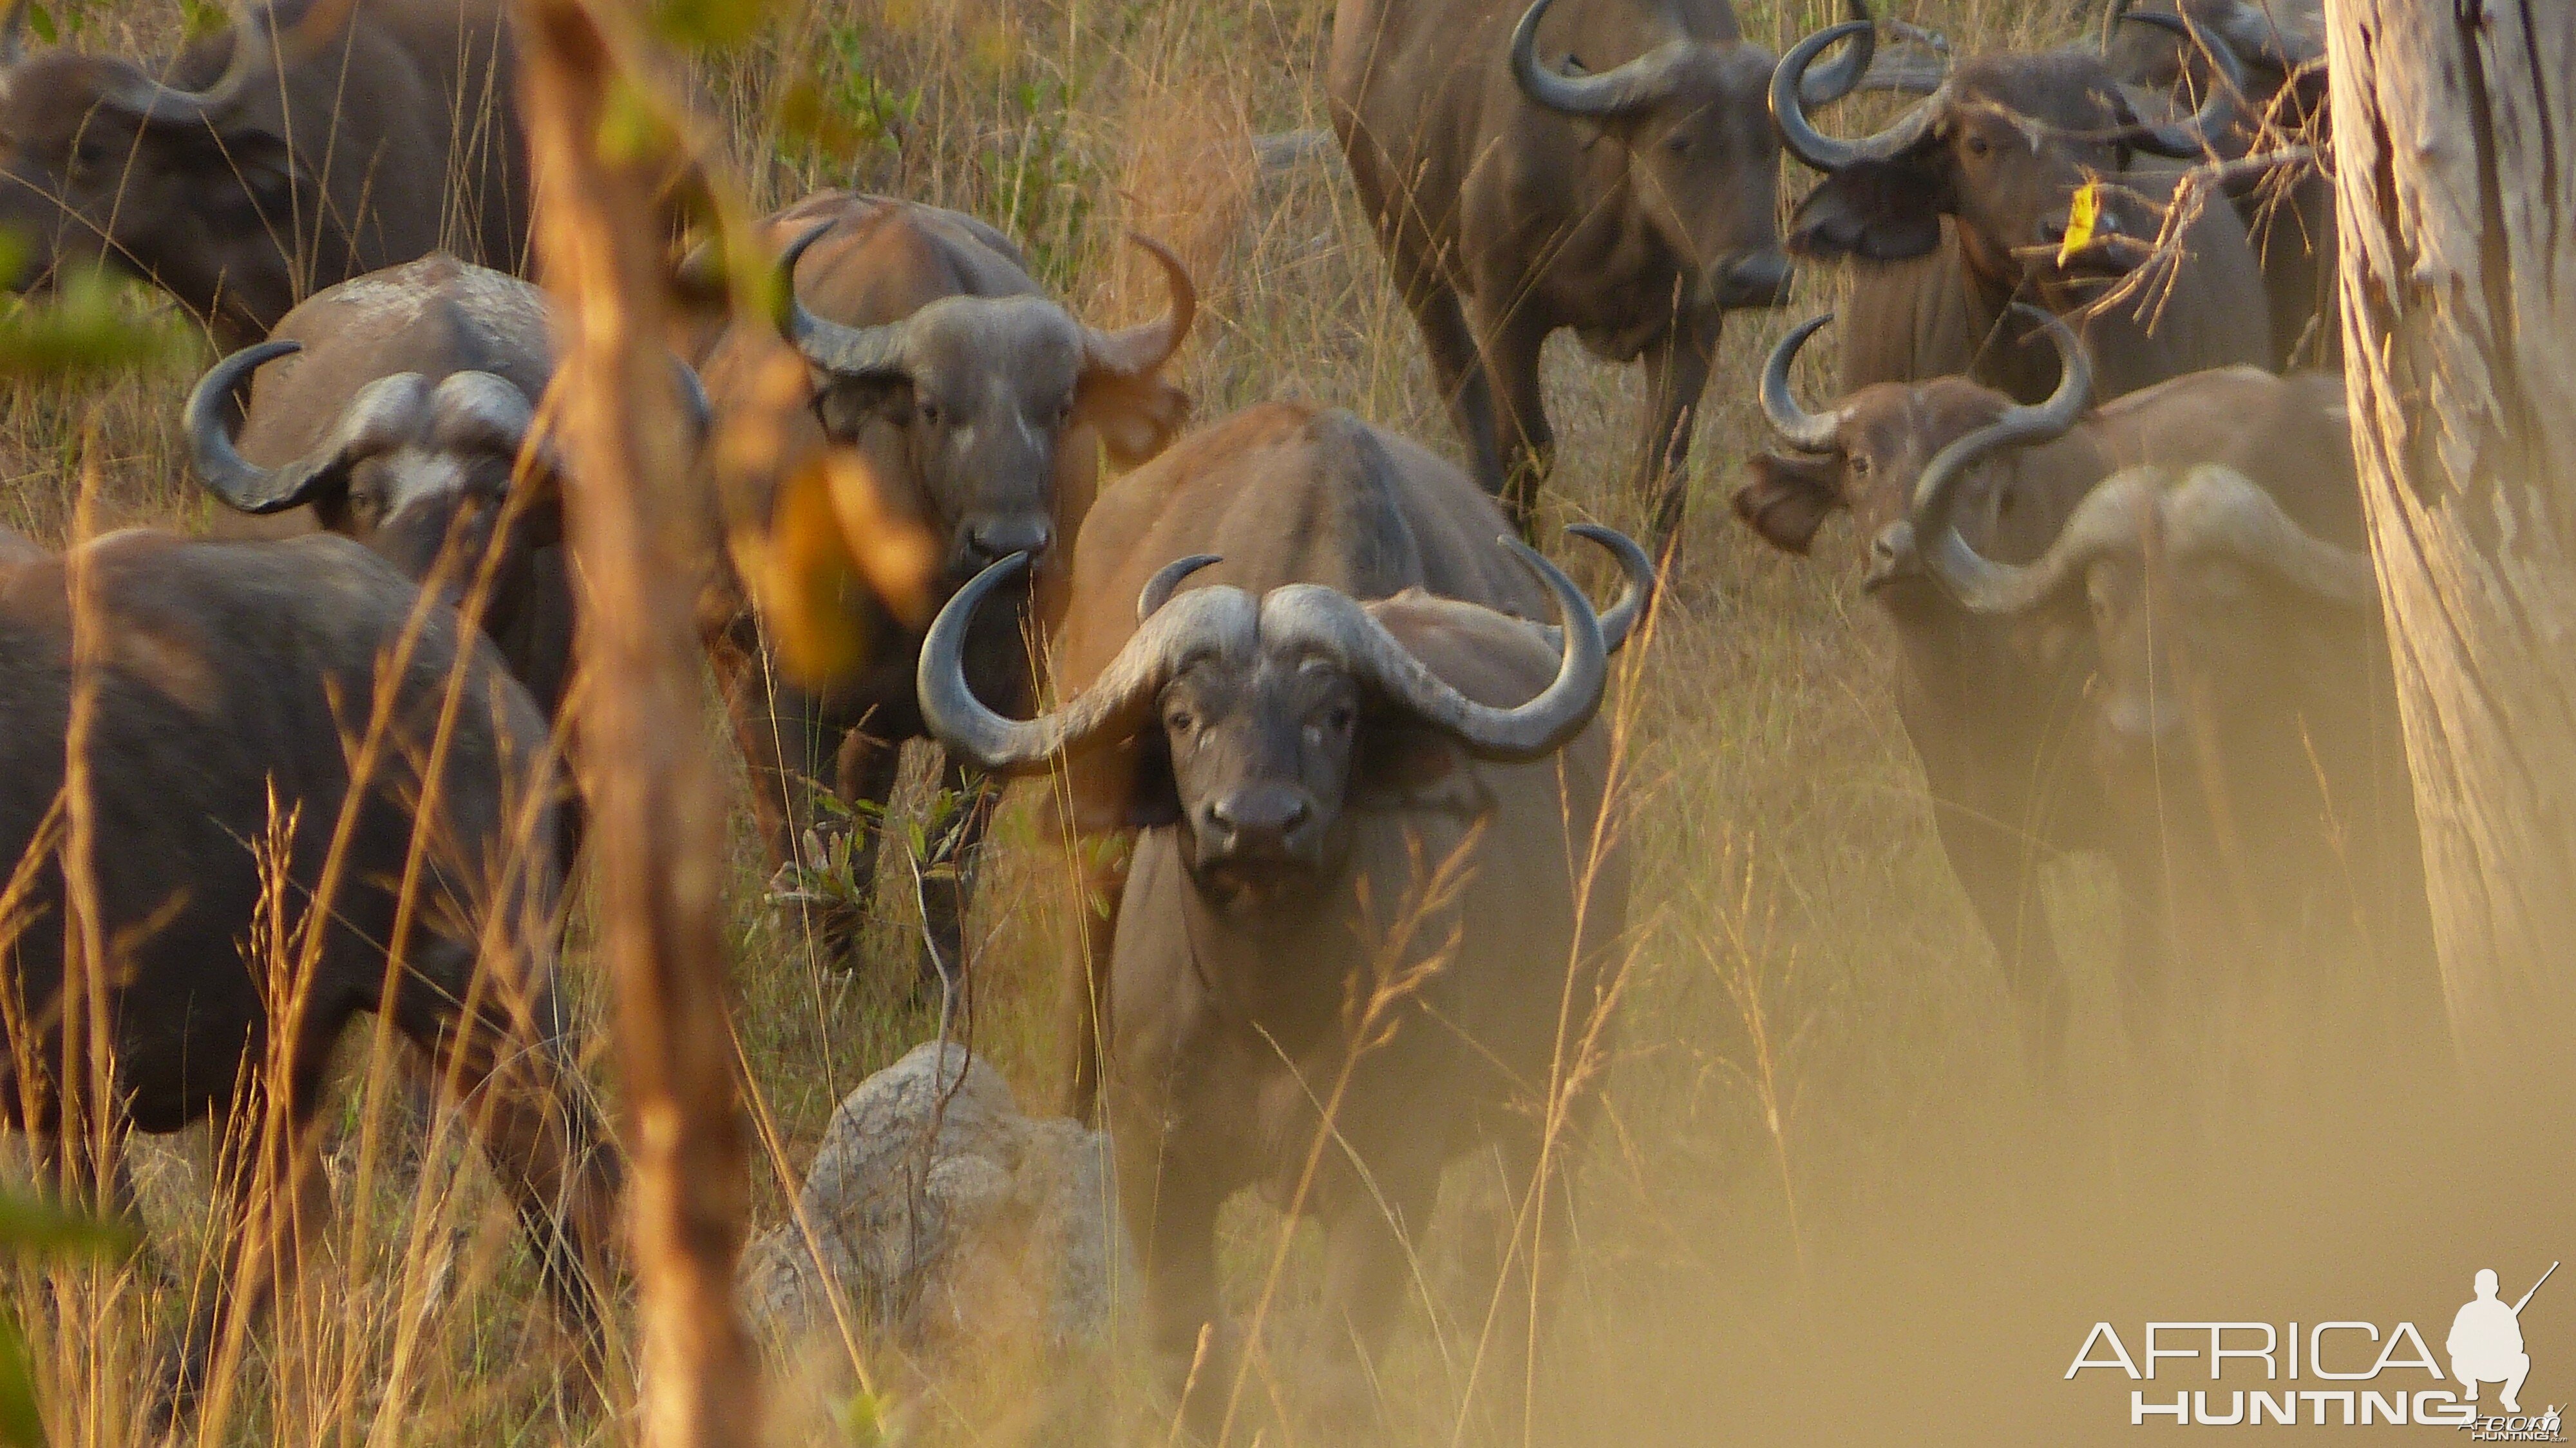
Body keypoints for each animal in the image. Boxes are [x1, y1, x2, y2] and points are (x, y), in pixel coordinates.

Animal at [697, 191, 1194, 979]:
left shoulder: (1006, 699)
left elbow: (948, 863)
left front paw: (939, 988)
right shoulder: (789, 691)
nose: (1010, 544)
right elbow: (812, 850)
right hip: (732, 655)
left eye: (1059, 407)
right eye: (933, 407)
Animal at [923, 400, 1645, 1431]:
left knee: (1527, 1273)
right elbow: (1188, 1358)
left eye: (1335, 715)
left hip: (1564, 1087)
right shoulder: (1159, 1170)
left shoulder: (1389, 1178)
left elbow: (1338, 1380)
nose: (1257, 822)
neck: (1265, 1010)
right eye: (1184, 718)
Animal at [1328, 0, 1885, 550]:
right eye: (1679, 142)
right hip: (1400, 242)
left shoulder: (1694, 324)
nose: (1760, 276)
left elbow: (1663, 466)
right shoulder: (1504, 307)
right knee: (1460, 381)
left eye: (1770, 145)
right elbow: (1526, 448)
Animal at [1737, 306, 2358, 1068]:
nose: (1902, 551)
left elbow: (2142, 995)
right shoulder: (1976, 842)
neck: (1986, 690)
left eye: (1974, 462)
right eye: (1860, 462)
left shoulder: (2140, 835)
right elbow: (2041, 995)